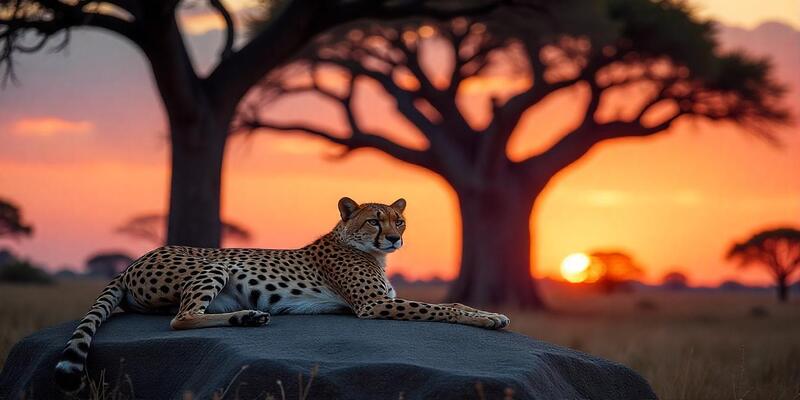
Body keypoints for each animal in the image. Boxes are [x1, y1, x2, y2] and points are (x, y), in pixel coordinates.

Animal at [54, 197, 510, 392]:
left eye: (399, 220)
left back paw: (247, 316)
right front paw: (488, 317)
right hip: (216, 265)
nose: (396, 239)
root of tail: (133, 260)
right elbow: (443, 305)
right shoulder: (373, 305)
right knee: (180, 318)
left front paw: (489, 314)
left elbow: (445, 303)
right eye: (374, 221)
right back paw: (249, 317)